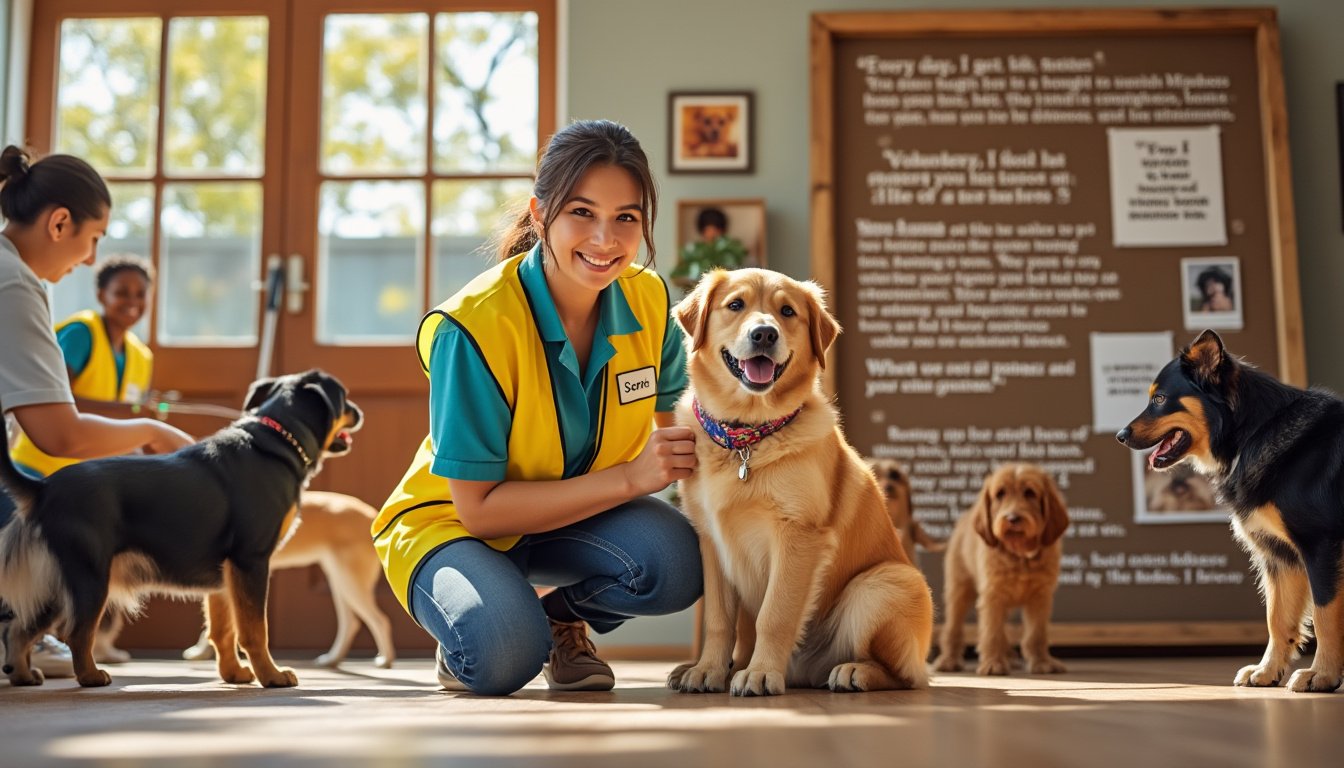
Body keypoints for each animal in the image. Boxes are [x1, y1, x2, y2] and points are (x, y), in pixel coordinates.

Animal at [0, 368, 362, 688]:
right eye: (344, 398)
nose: (359, 412)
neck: (276, 441)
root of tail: (43, 488)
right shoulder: (251, 561)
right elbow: (254, 630)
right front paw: (270, 676)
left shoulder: (225, 576)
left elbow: (223, 630)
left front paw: (233, 674)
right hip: (87, 578)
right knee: (77, 633)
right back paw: (90, 677)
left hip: (53, 582)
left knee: (19, 630)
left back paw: (23, 675)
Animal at [184, 494, 395, 669]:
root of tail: (371, 513)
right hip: (338, 581)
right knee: (351, 623)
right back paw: (332, 659)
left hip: (349, 583)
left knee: (380, 620)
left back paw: (385, 660)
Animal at [663, 270, 935, 699]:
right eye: (736, 305)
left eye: (787, 311)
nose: (764, 334)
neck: (747, 437)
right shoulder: (711, 541)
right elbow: (719, 620)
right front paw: (708, 669)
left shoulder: (798, 536)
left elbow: (775, 614)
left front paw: (760, 674)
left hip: (883, 584)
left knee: (906, 677)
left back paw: (854, 672)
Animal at [935, 462, 1069, 672]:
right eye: (1000, 494)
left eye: (1030, 493)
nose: (1012, 518)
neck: (1020, 555)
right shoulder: (993, 596)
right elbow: (992, 632)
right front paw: (993, 663)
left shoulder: (1041, 597)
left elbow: (1036, 634)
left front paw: (1042, 661)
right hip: (959, 589)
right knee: (953, 627)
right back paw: (949, 659)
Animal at [1112, 333, 1344, 694]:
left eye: (1160, 399)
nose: (1120, 436)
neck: (1253, 431)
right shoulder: (1279, 556)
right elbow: (1278, 617)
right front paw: (1267, 670)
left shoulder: (1320, 546)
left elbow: (1324, 615)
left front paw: (1322, 674)